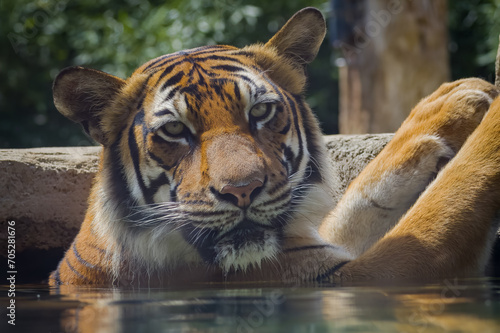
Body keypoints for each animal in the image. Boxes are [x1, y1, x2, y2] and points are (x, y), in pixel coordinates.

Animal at [48, 6, 500, 284]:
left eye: (261, 111)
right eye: (175, 130)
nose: (242, 191)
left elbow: (365, 194)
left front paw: (454, 101)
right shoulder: (364, 276)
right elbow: (448, 198)